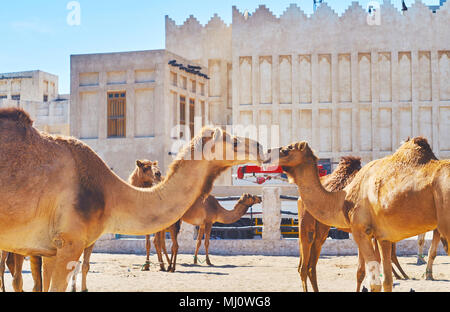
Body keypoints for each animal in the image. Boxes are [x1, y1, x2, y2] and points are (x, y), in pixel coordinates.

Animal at [264, 138, 450, 292]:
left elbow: (372, 280)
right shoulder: (382, 237)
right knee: (307, 266)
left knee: (306, 266)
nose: (267, 153)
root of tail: (299, 199)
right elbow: (386, 281)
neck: (342, 198)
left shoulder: (361, 231)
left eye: (287, 149)